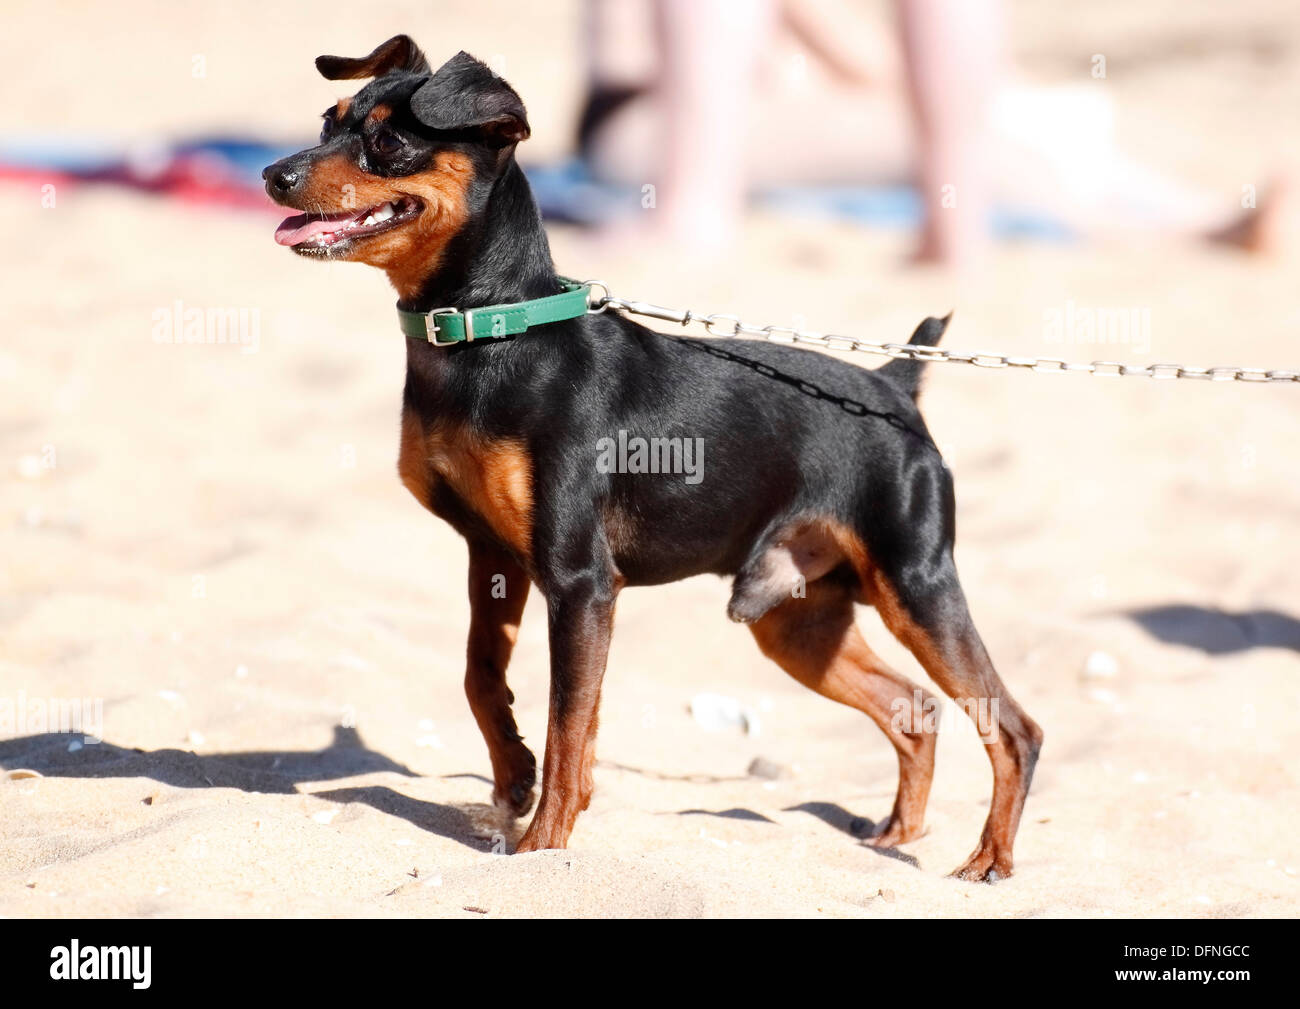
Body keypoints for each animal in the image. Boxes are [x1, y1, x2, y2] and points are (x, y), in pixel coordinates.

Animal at [266, 35, 1045, 878]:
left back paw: (989, 858)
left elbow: (570, 726)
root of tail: (894, 384)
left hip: (915, 584)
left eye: (387, 143)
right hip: (796, 620)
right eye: (328, 120)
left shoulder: (580, 581)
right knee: (915, 707)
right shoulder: (493, 552)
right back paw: (896, 836)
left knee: (1012, 726)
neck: (488, 337)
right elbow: (482, 678)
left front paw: (543, 847)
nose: (275, 174)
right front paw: (512, 774)